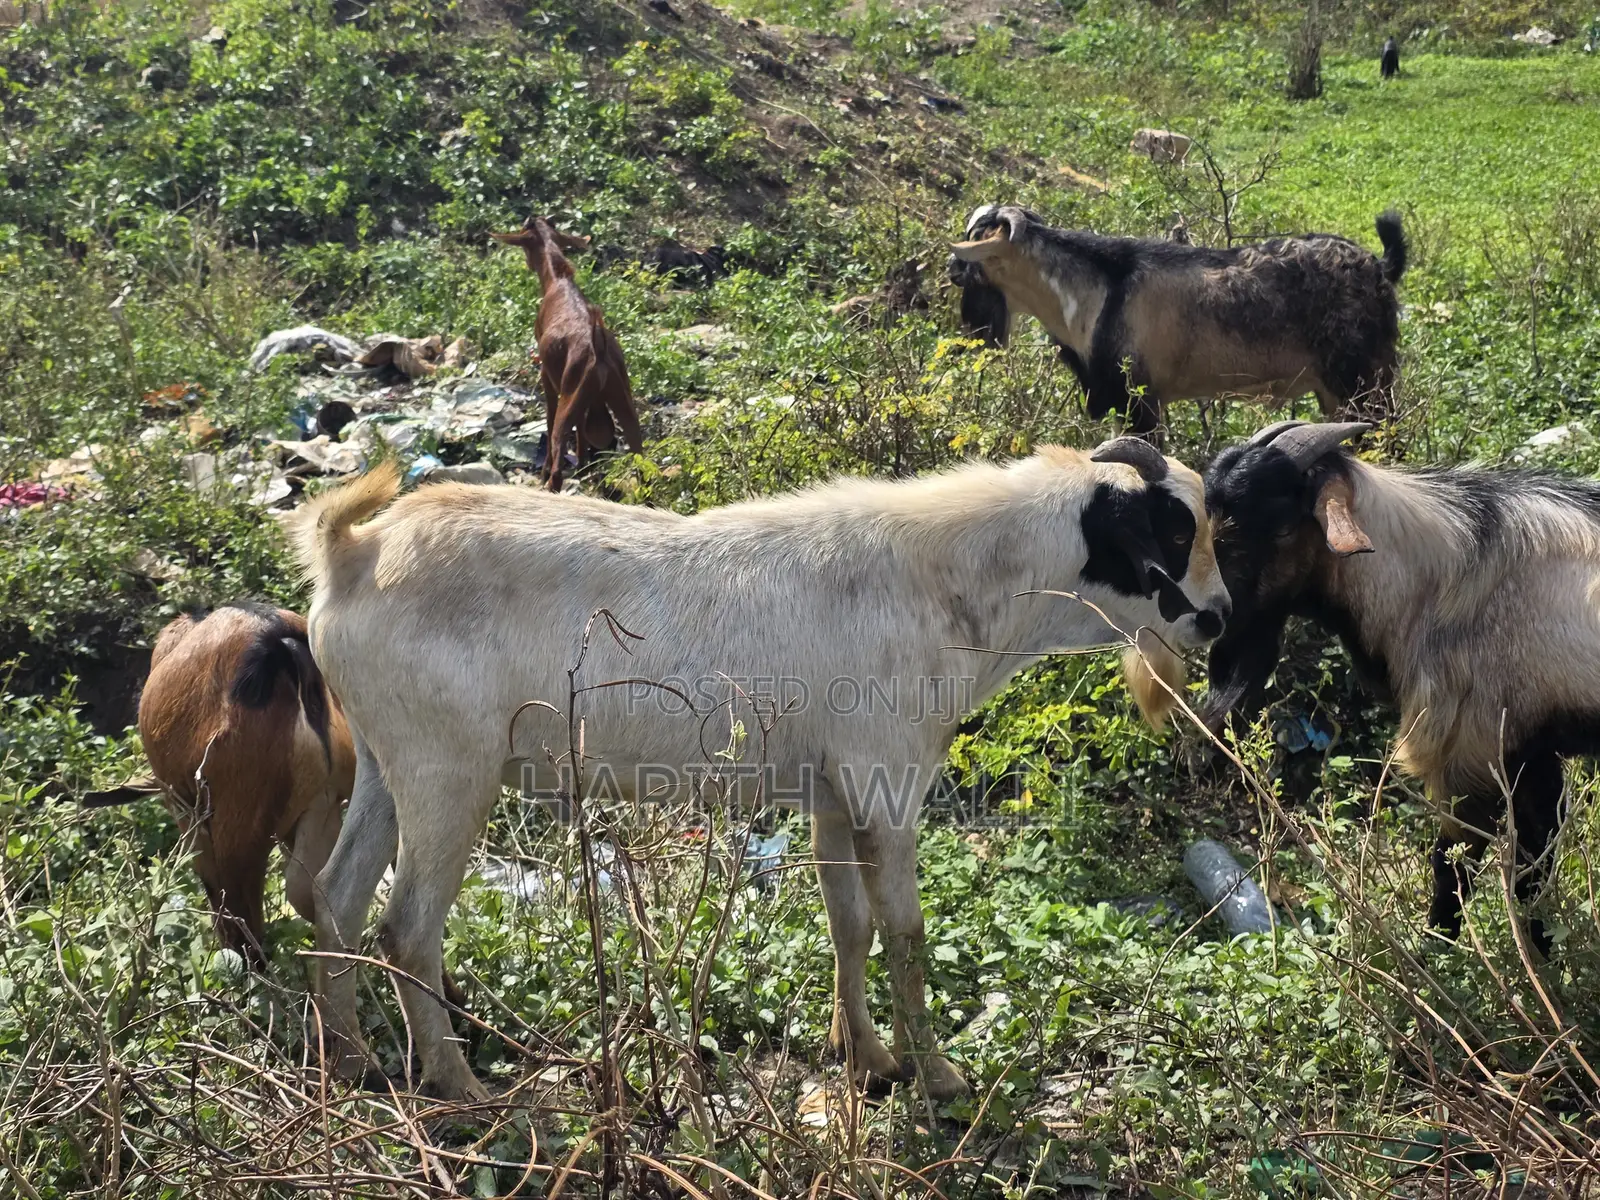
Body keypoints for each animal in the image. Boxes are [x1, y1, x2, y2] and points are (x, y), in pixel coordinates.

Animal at [288, 439, 1231, 1102]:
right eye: (1175, 529)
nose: (1220, 619)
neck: (943, 580)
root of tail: (352, 552)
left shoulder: (831, 794)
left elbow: (850, 927)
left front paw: (867, 1058)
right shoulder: (888, 783)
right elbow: (906, 933)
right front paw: (936, 1077)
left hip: (385, 764)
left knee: (334, 894)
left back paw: (353, 1062)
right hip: (448, 773)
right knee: (406, 925)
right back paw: (460, 1087)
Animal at [491, 216, 646, 492]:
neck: (558, 280)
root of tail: (598, 346)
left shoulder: (548, 376)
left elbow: (551, 418)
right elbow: (582, 425)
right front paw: (583, 462)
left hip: (571, 391)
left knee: (558, 454)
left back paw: (548, 483)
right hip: (620, 395)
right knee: (640, 456)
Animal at [946, 204, 1408, 435]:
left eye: (976, 258)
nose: (951, 270)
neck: (1100, 290)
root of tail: (1378, 268)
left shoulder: (1141, 403)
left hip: (1365, 383)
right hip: (1334, 392)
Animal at [1201, 419, 1600, 956]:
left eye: (1283, 527)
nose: (1214, 626)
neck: (1432, 583)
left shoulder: (1469, 754)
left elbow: (1453, 867)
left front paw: (1439, 954)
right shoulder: (1529, 750)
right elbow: (1535, 863)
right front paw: (1539, 953)